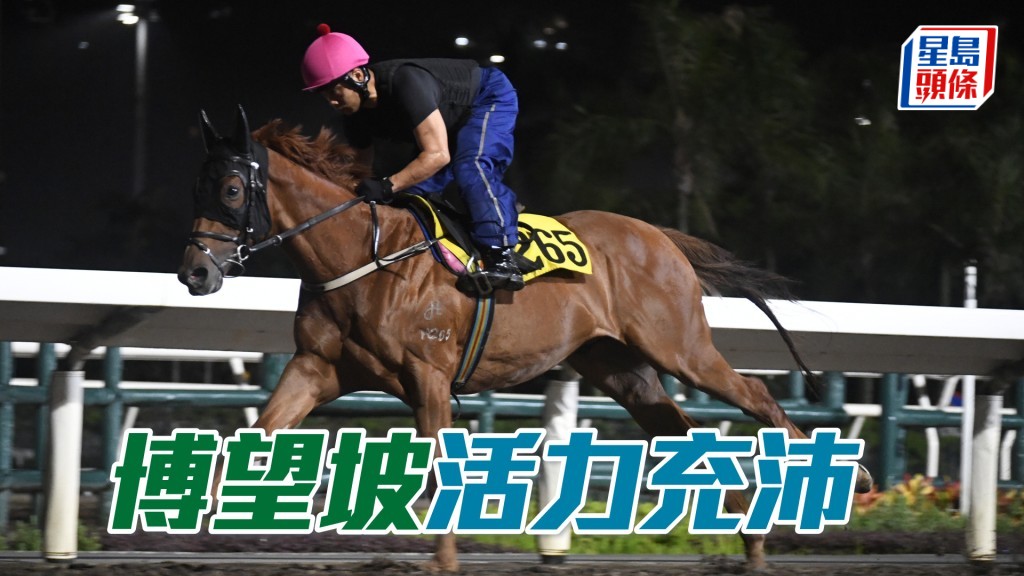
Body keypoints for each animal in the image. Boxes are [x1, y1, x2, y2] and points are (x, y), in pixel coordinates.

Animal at [178, 107, 872, 571]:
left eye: (232, 189)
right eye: (197, 186)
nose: (194, 273)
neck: (361, 256)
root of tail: (660, 236)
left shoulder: (428, 375)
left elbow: (439, 469)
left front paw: (444, 561)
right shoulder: (317, 366)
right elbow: (250, 439)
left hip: (680, 347)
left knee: (754, 392)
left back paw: (849, 478)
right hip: (621, 369)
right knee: (683, 435)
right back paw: (750, 541)